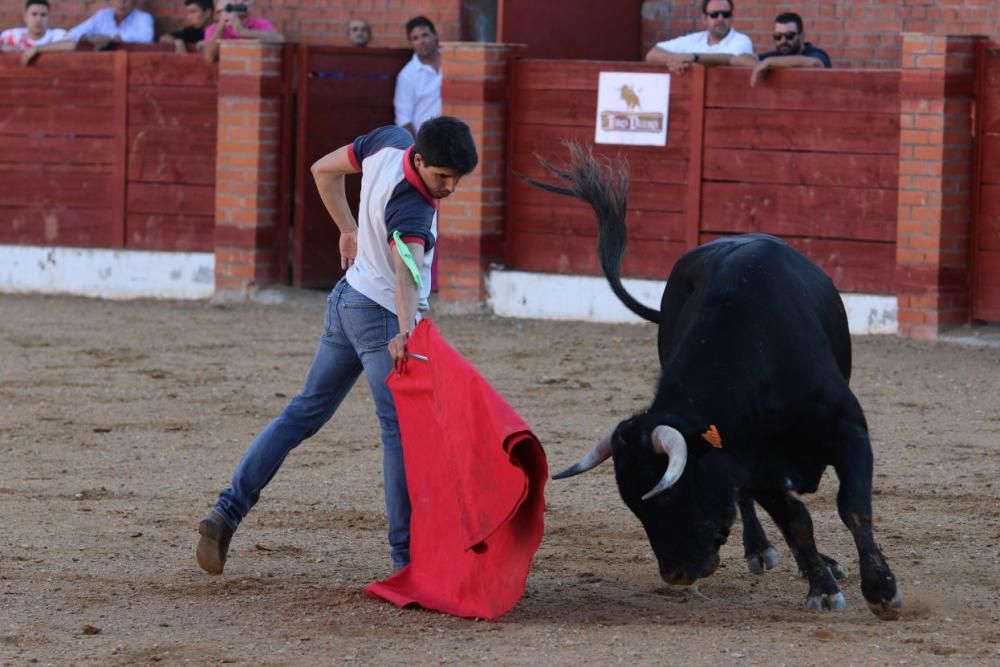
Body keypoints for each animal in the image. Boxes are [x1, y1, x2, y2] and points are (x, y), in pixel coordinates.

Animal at [528, 145, 904, 620]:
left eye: (666, 497)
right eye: (633, 505)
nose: (674, 575)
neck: (759, 361)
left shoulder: (849, 430)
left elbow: (853, 508)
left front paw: (881, 590)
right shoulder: (754, 464)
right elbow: (796, 521)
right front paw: (822, 587)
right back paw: (762, 550)